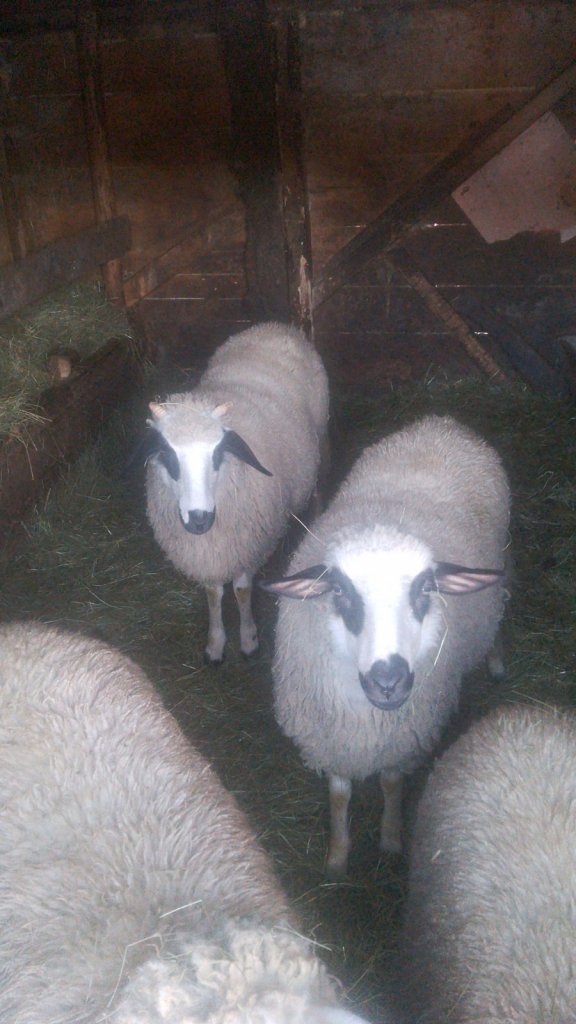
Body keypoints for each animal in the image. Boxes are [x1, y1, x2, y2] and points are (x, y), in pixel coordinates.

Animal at [145, 322, 329, 664]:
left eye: (218, 453)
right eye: (167, 454)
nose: (199, 520)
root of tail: (275, 326)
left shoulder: (250, 546)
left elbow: (242, 590)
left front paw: (248, 640)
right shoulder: (211, 555)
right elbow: (213, 593)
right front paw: (215, 644)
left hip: (321, 434)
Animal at [260, 415, 510, 877]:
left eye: (426, 589)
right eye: (340, 591)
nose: (389, 680)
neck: (366, 724)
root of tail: (441, 424)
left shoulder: (403, 738)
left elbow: (392, 784)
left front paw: (392, 838)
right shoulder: (332, 738)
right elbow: (339, 795)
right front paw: (338, 855)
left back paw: (496, 659)